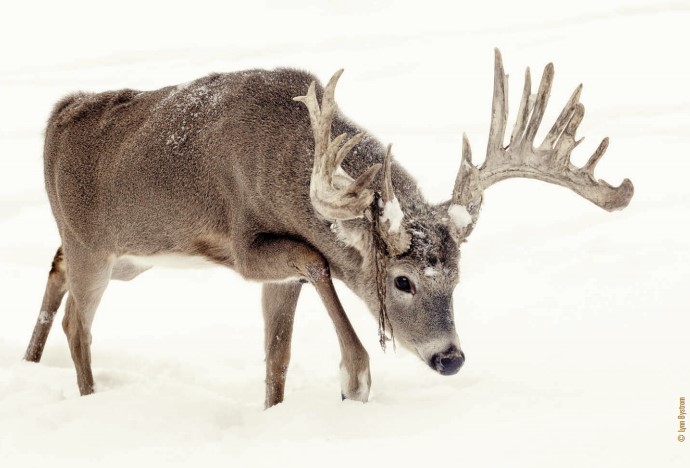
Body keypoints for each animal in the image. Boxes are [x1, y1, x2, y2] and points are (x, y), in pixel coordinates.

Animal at [24, 50, 632, 406]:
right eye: (402, 281)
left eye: (458, 278)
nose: (450, 358)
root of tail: (57, 114)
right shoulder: (244, 248)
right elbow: (317, 262)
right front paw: (355, 377)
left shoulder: (273, 277)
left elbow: (277, 355)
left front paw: (276, 411)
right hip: (93, 247)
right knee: (79, 322)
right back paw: (89, 397)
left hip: (129, 259)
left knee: (55, 270)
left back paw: (29, 362)